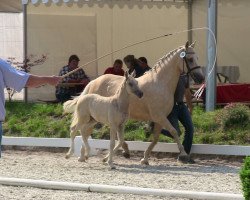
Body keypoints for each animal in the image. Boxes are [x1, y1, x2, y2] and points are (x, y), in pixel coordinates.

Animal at [64, 41, 203, 166]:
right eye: (190, 59)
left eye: (197, 57)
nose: (201, 78)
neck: (160, 83)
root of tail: (92, 82)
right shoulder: (159, 116)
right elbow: (174, 132)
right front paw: (184, 154)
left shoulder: (159, 119)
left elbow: (156, 139)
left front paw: (145, 159)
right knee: (83, 131)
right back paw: (83, 155)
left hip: (94, 118)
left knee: (85, 131)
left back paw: (85, 156)